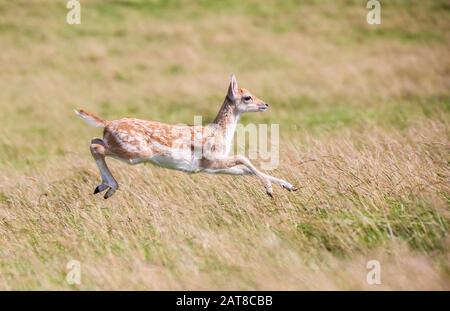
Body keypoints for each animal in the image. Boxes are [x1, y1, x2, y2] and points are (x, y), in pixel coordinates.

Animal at [75, 74, 298, 199]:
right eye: (247, 97)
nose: (265, 104)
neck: (219, 133)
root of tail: (107, 124)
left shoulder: (211, 168)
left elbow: (244, 170)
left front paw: (289, 186)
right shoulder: (210, 160)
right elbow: (244, 159)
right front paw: (269, 189)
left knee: (94, 141)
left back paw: (102, 187)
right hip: (136, 151)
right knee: (96, 146)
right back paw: (110, 187)